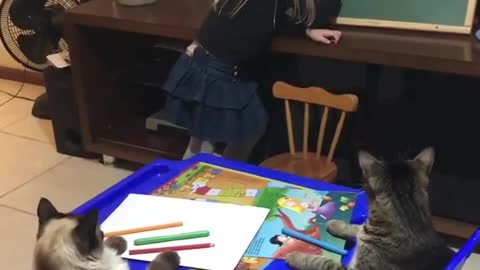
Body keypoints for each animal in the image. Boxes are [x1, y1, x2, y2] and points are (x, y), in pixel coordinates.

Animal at [34, 196, 180, 270]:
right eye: (100, 233)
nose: (103, 232)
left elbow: (111, 245)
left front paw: (121, 241)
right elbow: (158, 264)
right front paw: (172, 255)